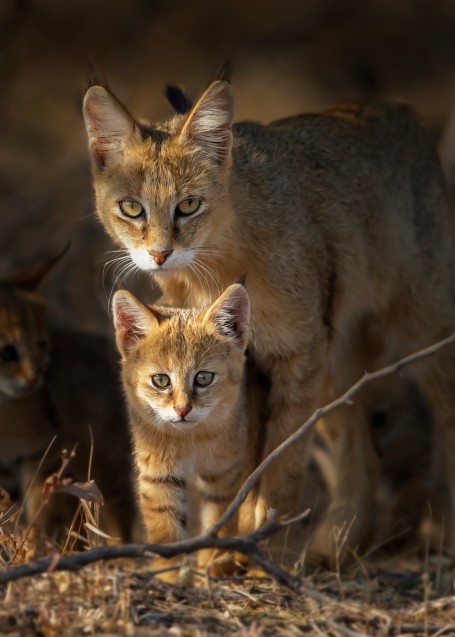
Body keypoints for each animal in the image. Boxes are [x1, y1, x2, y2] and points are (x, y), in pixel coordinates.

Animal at [83, 72, 455, 564]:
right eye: (131, 208)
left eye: (188, 206)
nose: (159, 254)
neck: (211, 266)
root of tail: (398, 110)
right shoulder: (253, 365)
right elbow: (247, 462)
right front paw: (239, 542)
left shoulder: (294, 352)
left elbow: (283, 462)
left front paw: (258, 546)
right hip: (335, 360)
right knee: (361, 448)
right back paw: (335, 545)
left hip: (421, 330)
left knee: (443, 418)